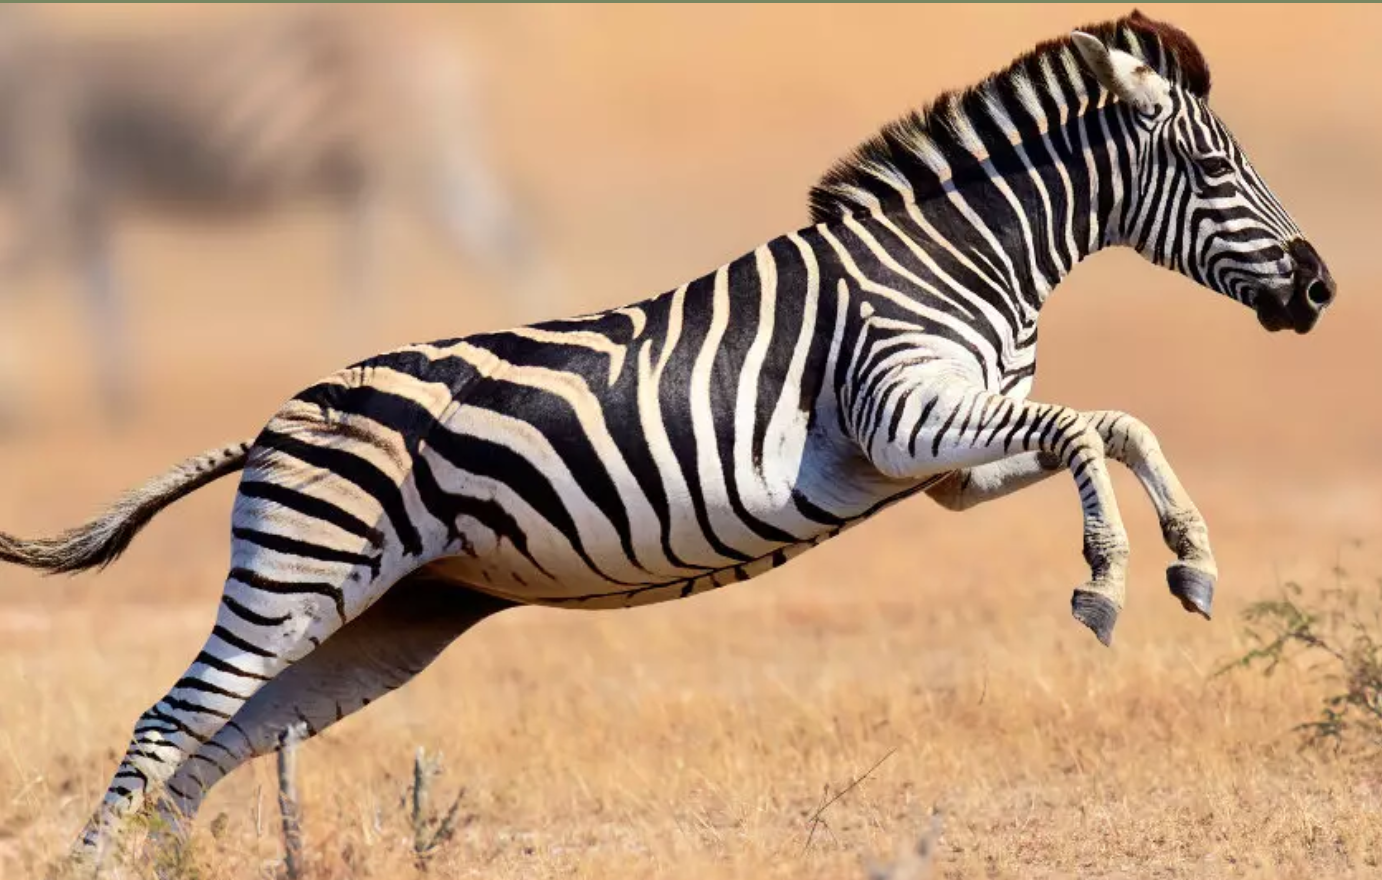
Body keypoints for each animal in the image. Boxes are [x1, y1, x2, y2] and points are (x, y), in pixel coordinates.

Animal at [0, 4, 545, 423]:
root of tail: (443, 56)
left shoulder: (53, 193)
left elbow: (23, 282)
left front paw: (18, 404)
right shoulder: (86, 208)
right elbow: (105, 299)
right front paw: (120, 399)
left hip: (406, 171)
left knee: (382, 275)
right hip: (422, 171)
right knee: (509, 243)